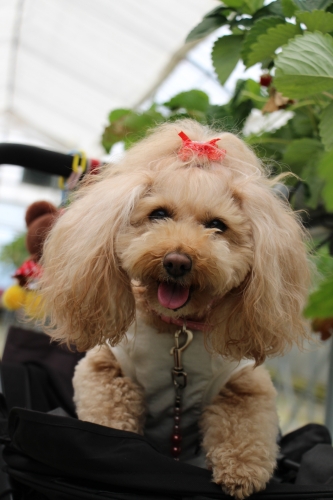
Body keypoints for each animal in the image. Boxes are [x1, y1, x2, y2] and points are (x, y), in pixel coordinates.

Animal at [40, 119, 308, 498]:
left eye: (217, 225)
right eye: (159, 214)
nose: (177, 261)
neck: (176, 329)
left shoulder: (243, 383)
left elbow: (244, 427)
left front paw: (241, 473)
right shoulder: (109, 369)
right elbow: (108, 418)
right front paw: (105, 448)